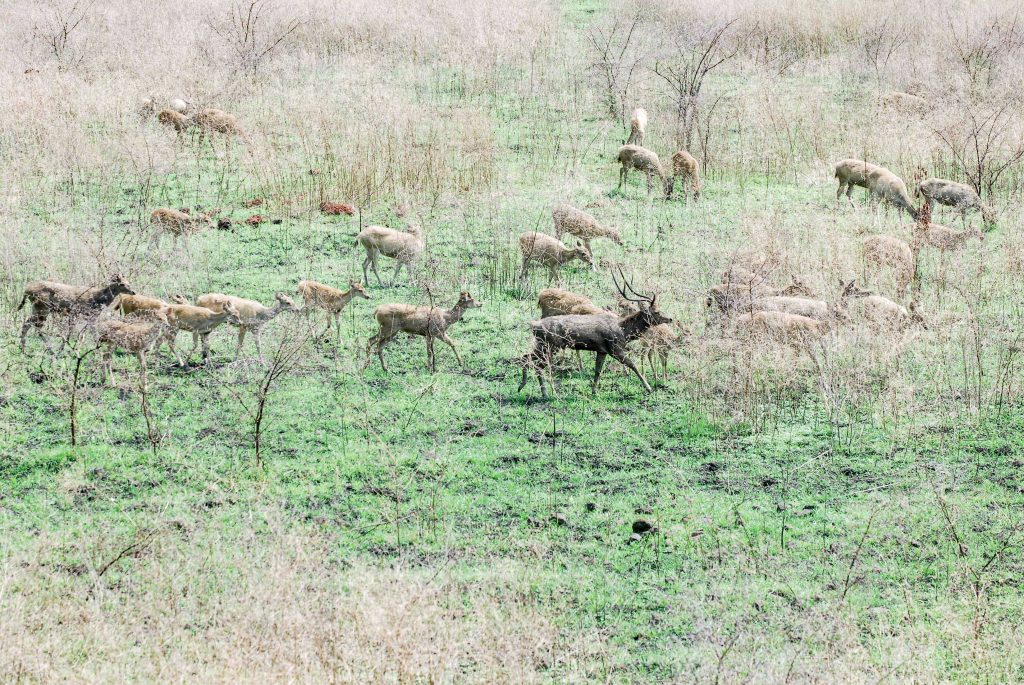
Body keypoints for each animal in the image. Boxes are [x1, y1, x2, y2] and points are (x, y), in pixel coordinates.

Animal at [518, 270, 671, 397]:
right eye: (656, 311)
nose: (670, 318)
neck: (624, 332)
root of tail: (534, 326)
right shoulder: (614, 348)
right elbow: (632, 364)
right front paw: (648, 387)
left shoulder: (602, 350)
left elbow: (598, 370)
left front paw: (594, 391)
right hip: (550, 345)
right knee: (538, 365)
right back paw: (547, 393)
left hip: (541, 345)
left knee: (525, 357)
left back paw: (522, 386)